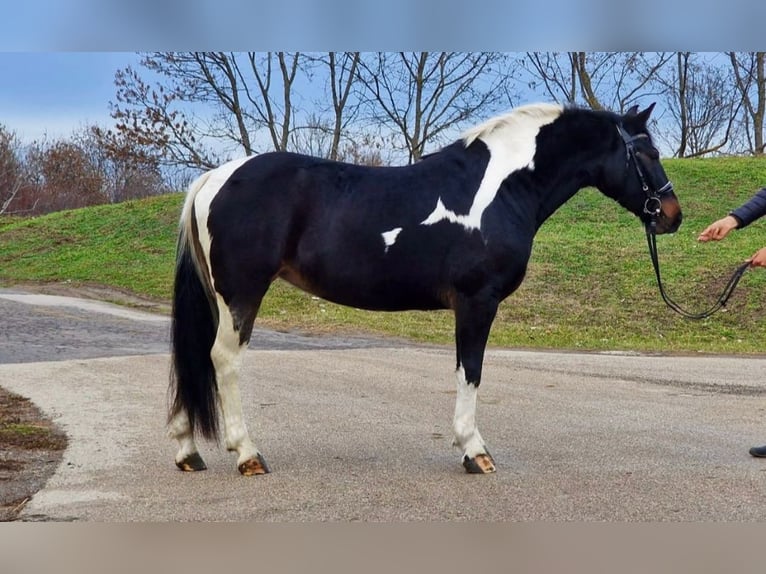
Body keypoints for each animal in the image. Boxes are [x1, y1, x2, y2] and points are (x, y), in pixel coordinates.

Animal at [166, 102, 684, 476]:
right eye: (647, 155)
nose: (672, 215)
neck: (499, 188)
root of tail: (214, 177)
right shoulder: (477, 302)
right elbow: (470, 372)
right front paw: (475, 451)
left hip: (219, 298)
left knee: (195, 358)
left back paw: (189, 452)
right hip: (241, 294)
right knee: (223, 360)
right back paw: (247, 454)